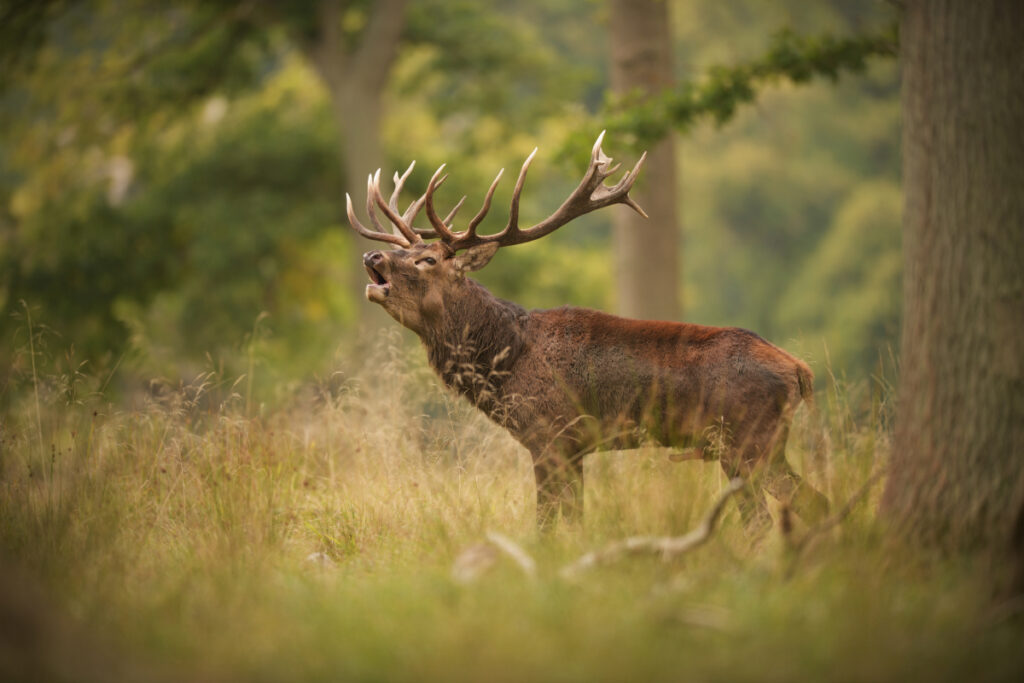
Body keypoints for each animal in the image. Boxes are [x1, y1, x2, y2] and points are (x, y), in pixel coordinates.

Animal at [346, 132, 830, 534]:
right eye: (405, 250)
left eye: (427, 260)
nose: (373, 256)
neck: (505, 360)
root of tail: (800, 371)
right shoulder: (574, 447)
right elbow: (574, 520)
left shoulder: (551, 434)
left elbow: (547, 524)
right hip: (759, 446)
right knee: (807, 504)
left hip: (746, 440)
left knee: (769, 517)